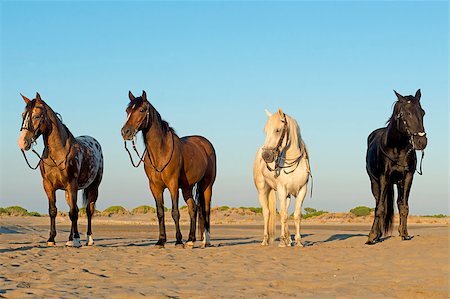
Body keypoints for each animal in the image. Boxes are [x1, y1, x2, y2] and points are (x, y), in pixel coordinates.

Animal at [18, 92, 103, 247]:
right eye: (23, 115)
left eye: (36, 116)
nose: (22, 142)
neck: (58, 154)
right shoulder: (48, 186)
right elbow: (53, 211)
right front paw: (51, 239)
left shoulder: (72, 185)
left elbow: (74, 213)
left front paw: (76, 240)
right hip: (69, 192)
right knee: (74, 209)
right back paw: (71, 237)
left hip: (93, 187)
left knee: (88, 210)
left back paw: (88, 239)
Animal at [121, 91, 216, 248]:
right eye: (127, 110)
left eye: (141, 110)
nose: (125, 132)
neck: (160, 151)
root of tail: (205, 143)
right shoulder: (155, 187)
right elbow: (160, 212)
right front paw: (161, 240)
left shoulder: (172, 185)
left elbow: (175, 212)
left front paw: (178, 240)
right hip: (187, 187)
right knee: (193, 208)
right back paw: (190, 240)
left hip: (206, 185)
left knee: (206, 209)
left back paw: (205, 241)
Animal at [253, 109, 312, 247]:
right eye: (265, 130)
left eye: (277, 130)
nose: (266, 155)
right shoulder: (281, 190)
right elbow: (284, 216)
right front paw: (282, 242)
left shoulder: (302, 190)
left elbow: (296, 216)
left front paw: (298, 241)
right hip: (263, 190)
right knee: (267, 213)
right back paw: (266, 240)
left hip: (287, 195)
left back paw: (288, 239)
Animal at [364, 90, 428, 245]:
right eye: (407, 113)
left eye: (422, 112)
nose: (421, 141)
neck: (397, 148)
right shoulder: (383, 178)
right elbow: (380, 208)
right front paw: (371, 236)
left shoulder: (407, 178)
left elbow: (403, 206)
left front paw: (404, 234)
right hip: (375, 182)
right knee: (378, 202)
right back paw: (376, 234)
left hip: (396, 182)